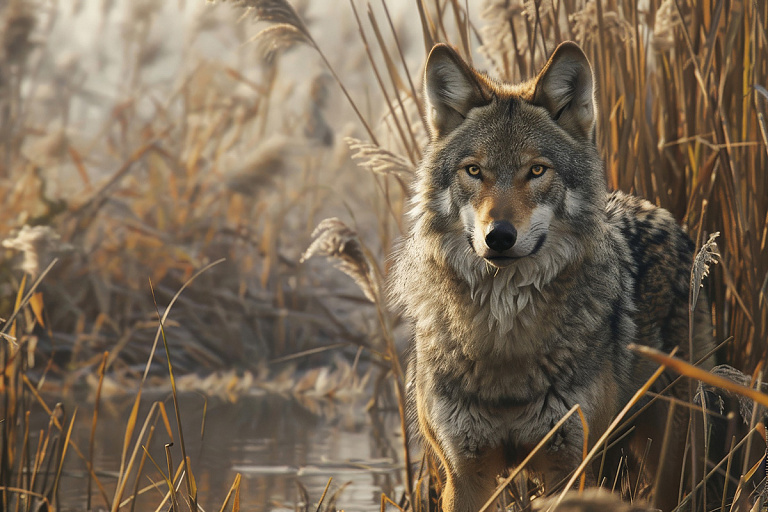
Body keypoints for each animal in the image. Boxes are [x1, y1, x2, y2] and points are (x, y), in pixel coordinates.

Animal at [390, 43, 712, 512]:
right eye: (474, 171)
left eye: (537, 171)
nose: (499, 236)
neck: (505, 340)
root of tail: (658, 210)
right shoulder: (464, 475)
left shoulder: (569, 469)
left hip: (672, 456)